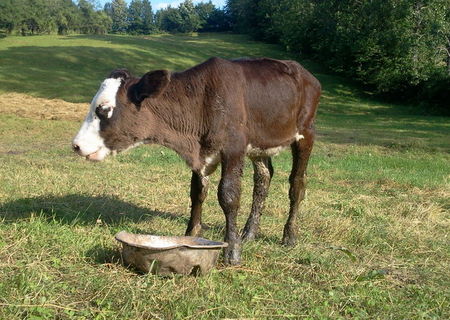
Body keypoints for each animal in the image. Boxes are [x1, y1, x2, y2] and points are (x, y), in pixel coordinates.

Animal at [73, 57, 320, 264]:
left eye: (104, 110)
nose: (76, 145)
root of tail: (304, 72)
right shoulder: (201, 155)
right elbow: (197, 192)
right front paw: (190, 236)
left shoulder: (234, 147)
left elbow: (229, 196)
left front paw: (233, 251)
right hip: (260, 145)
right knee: (263, 179)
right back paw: (249, 232)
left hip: (306, 133)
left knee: (297, 184)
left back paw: (289, 235)